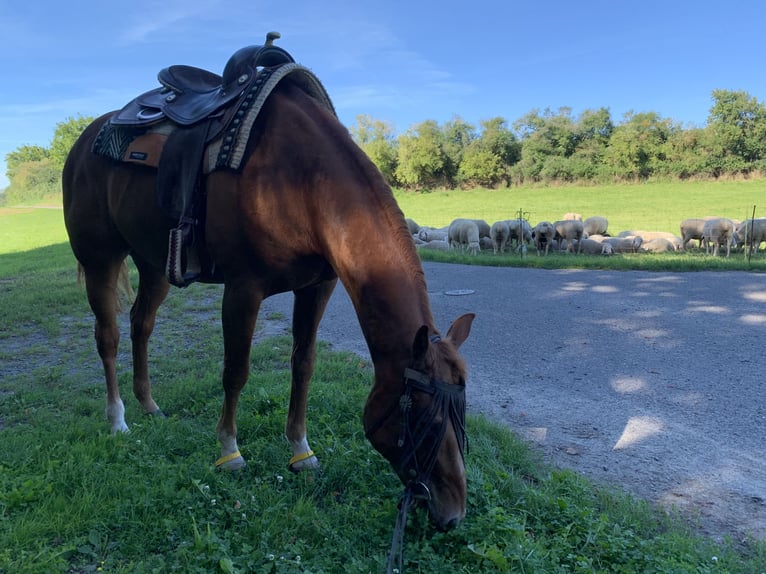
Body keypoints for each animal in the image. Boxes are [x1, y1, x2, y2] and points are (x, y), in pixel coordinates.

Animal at [62, 77, 475, 530]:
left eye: (462, 411)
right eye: (421, 416)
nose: (453, 512)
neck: (300, 179)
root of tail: (82, 143)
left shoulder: (317, 287)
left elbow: (303, 365)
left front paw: (301, 450)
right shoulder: (243, 290)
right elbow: (236, 372)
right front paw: (229, 451)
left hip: (154, 264)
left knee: (141, 325)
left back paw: (148, 404)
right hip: (101, 259)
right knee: (109, 336)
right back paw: (117, 418)